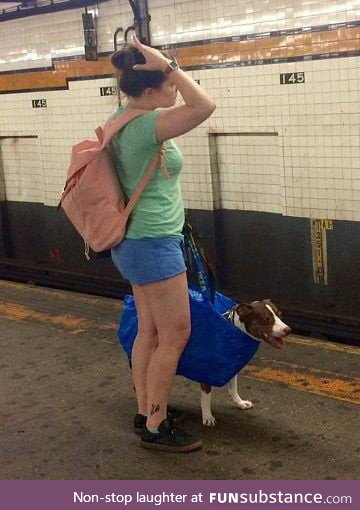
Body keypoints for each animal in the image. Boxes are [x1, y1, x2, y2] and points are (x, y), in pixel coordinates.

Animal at [201, 298, 292, 426]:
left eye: (280, 314)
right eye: (266, 319)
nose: (288, 330)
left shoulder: (231, 366)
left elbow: (233, 388)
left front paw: (240, 403)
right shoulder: (205, 369)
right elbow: (206, 396)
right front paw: (207, 416)